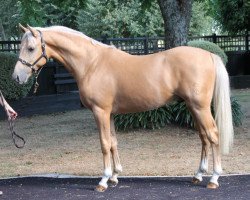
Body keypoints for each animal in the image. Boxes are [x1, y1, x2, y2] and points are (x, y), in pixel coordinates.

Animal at [12, 25, 234, 192]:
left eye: (30, 48)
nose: (16, 77)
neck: (92, 63)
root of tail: (209, 55)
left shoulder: (100, 111)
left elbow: (104, 144)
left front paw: (103, 180)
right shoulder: (109, 113)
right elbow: (113, 142)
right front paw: (115, 176)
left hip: (200, 107)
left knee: (213, 135)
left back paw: (214, 178)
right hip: (193, 107)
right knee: (204, 138)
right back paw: (198, 175)